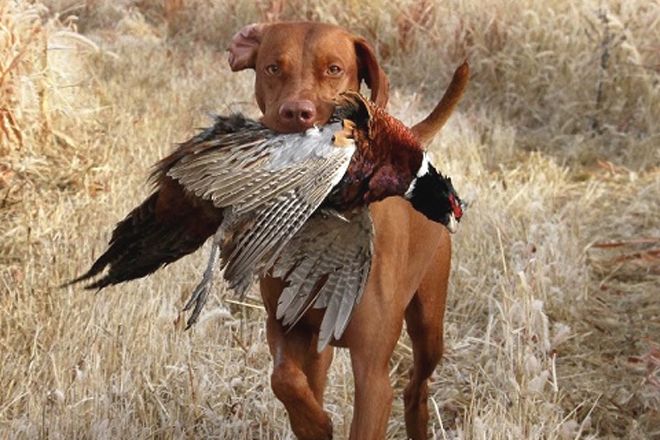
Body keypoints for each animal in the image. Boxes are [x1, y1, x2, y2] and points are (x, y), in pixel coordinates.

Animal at [229, 21, 466, 440]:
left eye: (335, 69)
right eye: (272, 68)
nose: (297, 112)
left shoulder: (373, 374)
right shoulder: (286, 328)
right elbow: (283, 378)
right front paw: (313, 423)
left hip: (428, 324)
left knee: (416, 387)